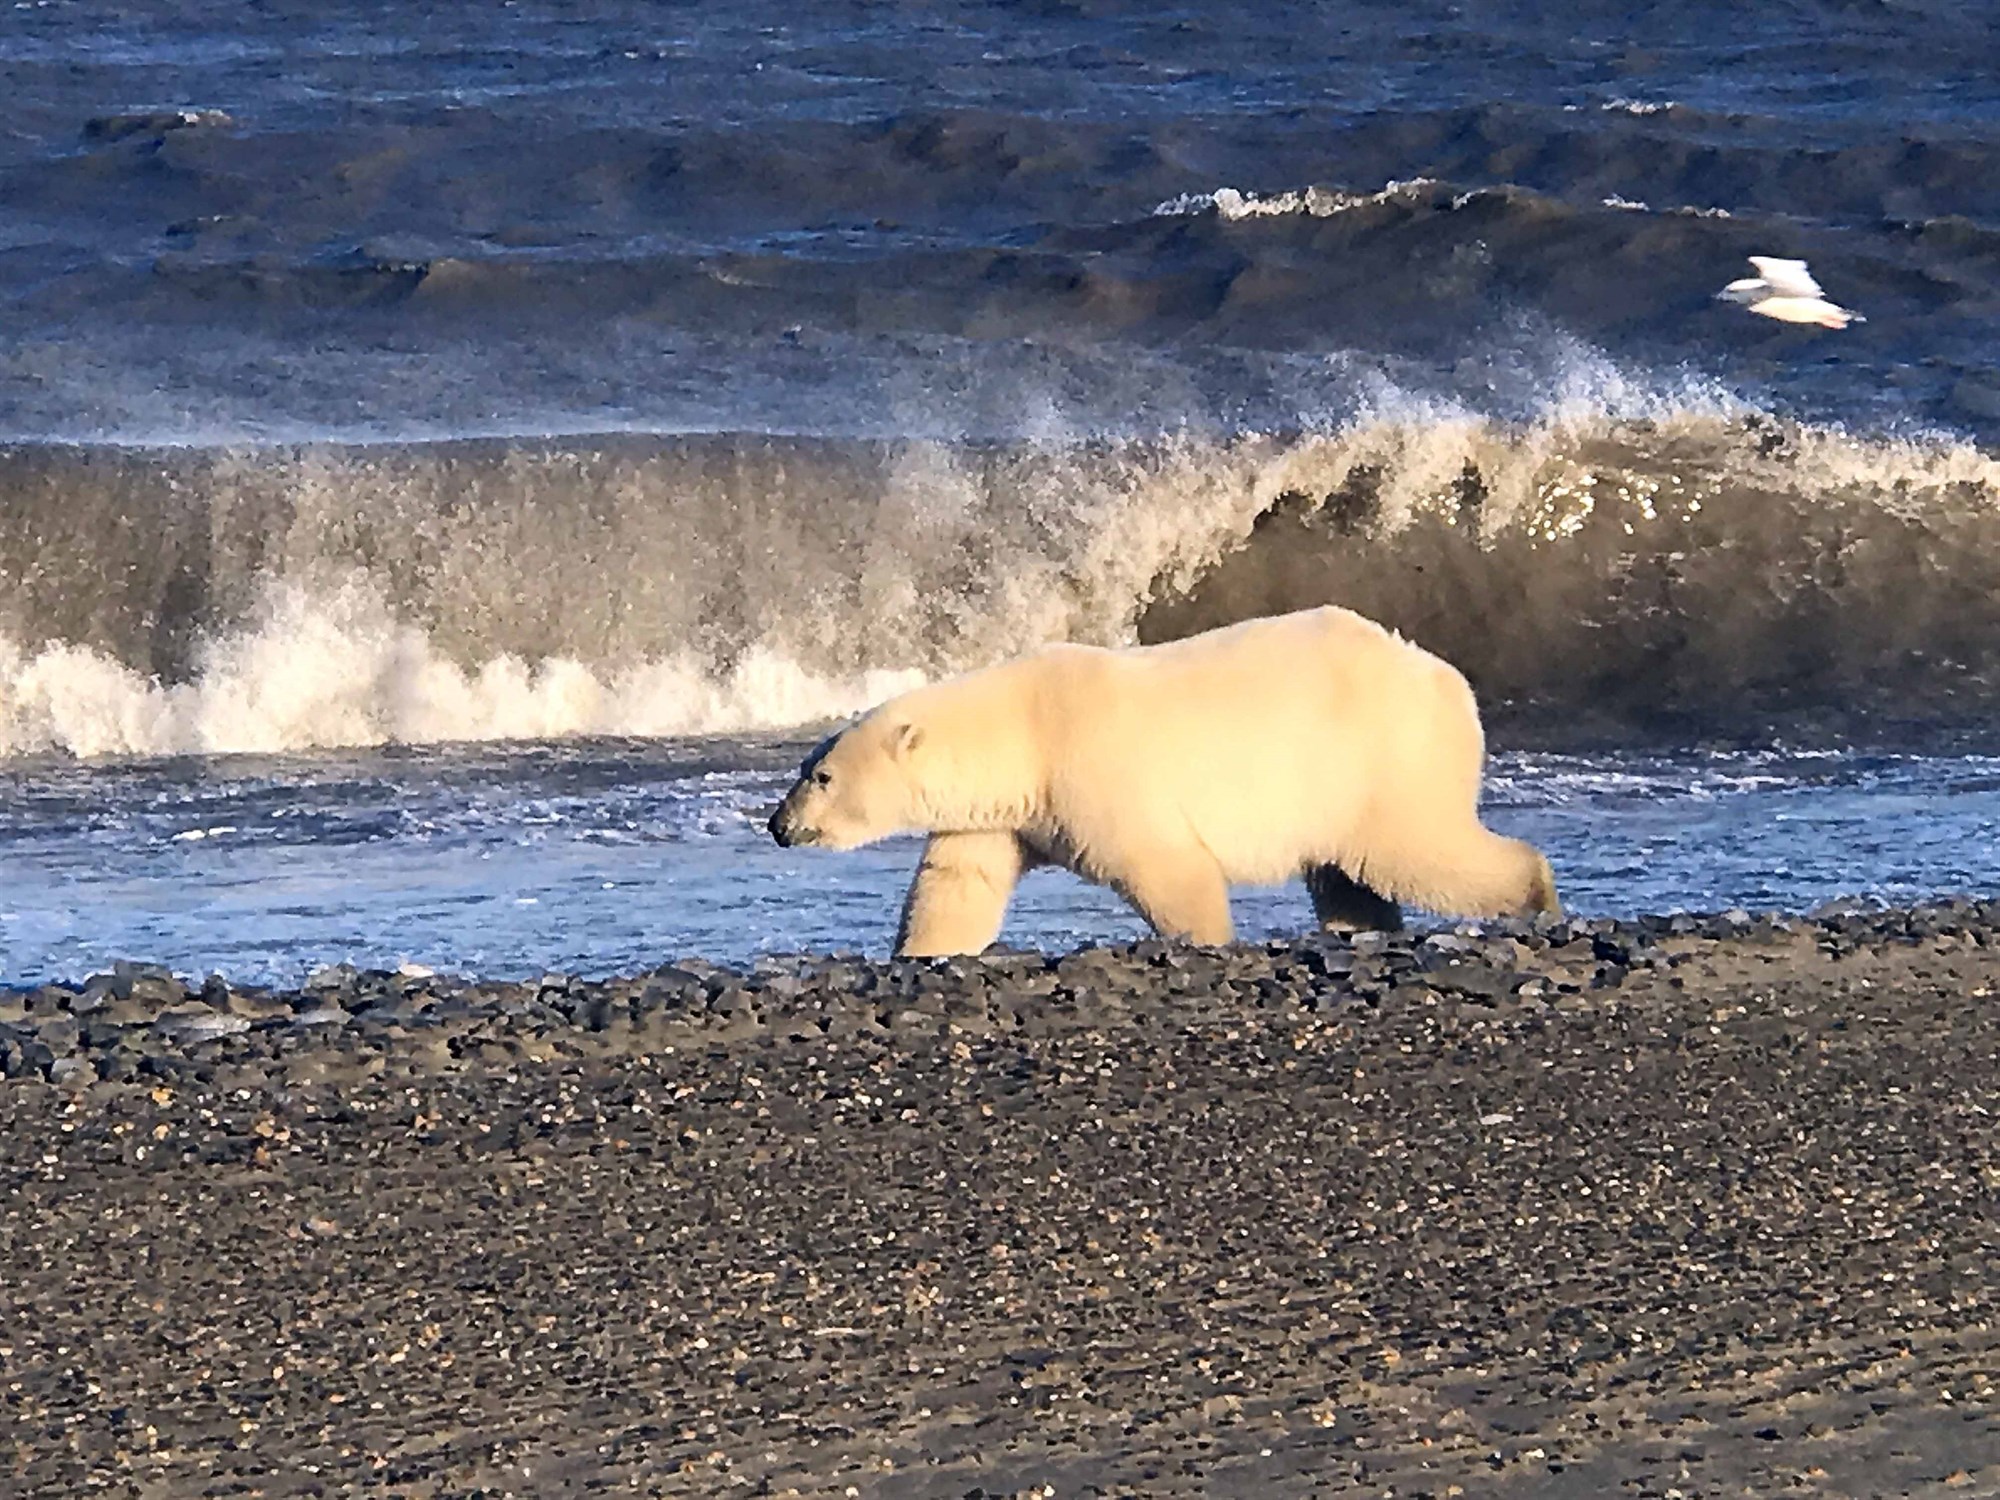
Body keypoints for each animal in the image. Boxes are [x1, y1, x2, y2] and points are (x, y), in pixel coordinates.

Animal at [764, 604, 1560, 956]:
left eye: (822, 776)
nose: (778, 826)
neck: (1024, 727)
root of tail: (1452, 682)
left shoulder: (1094, 770)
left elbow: (1166, 866)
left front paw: (1207, 940)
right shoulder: (1000, 815)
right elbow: (958, 883)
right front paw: (920, 952)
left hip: (1377, 758)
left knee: (1412, 851)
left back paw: (1539, 895)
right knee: (1348, 874)